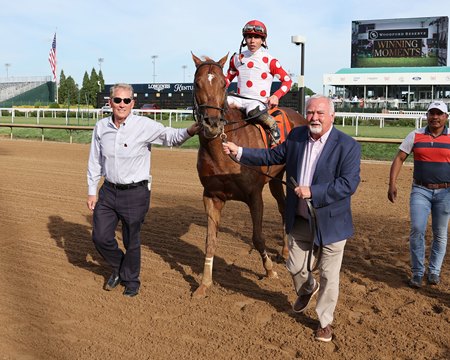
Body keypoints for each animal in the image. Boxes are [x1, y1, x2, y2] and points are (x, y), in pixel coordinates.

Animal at [190, 52, 306, 296]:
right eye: (197, 83)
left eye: (224, 84)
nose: (212, 124)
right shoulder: (211, 196)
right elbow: (210, 241)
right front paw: (204, 284)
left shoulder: (254, 195)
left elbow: (258, 237)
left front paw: (270, 271)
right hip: (275, 180)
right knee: (283, 207)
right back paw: (284, 251)